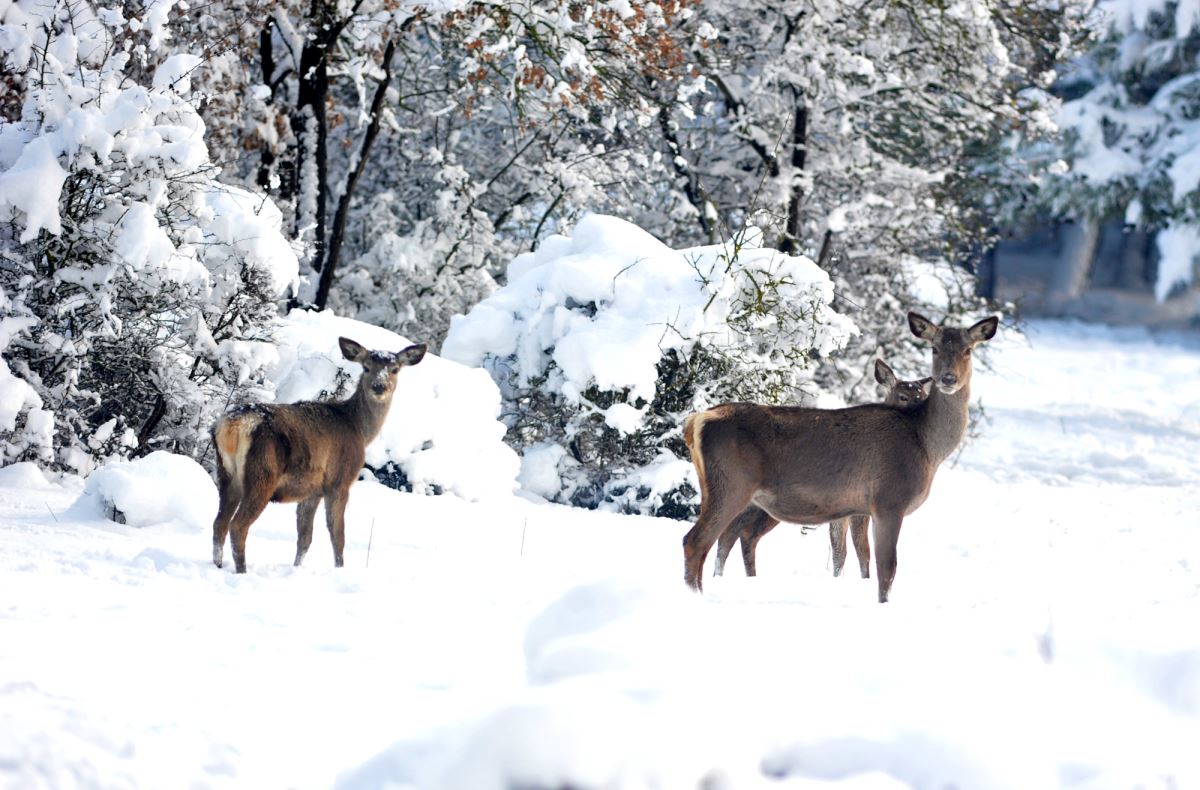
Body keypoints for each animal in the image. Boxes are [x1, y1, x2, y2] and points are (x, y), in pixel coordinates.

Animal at [210, 336, 427, 569]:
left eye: (395, 369)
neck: (359, 429)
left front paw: (297, 568)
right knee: (238, 525)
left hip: (227, 475)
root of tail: (233, 425)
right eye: (366, 367)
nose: (380, 387)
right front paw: (340, 568)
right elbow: (337, 535)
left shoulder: (311, 491)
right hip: (262, 473)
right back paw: (241, 570)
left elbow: (305, 538)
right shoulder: (339, 481)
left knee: (219, 523)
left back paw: (218, 565)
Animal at [710, 357, 936, 578]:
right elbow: (860, 550)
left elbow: (840, 551)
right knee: (739, 533)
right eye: (903, 396)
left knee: (731, 533)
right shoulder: (861, 507)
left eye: (923, 395)